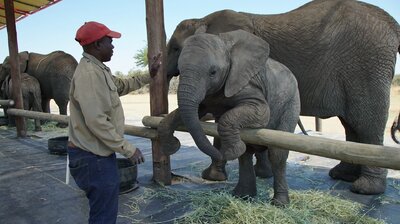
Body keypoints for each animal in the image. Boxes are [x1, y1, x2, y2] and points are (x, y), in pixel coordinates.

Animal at [159, 30, 300, 206]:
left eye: (213, 72)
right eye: (180, 70)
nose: (222, 154)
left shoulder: (247, 82)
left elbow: (262, 113)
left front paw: (231, 151)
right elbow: (191, 112)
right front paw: (170, 146)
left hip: (291, 102)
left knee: (277, 153)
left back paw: (279, 203)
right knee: (246, 154)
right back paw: (242, 195)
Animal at [165, 0, 400, 195]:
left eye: (175, 48)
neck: (203, 19)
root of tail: (392, 24)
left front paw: (213, 176)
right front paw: (260, 172)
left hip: (367, 65)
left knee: (367, 123)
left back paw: (365, 189)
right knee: (351, 125)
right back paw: (342, 176)